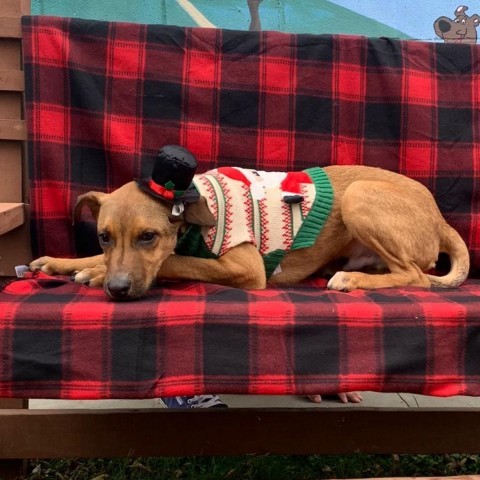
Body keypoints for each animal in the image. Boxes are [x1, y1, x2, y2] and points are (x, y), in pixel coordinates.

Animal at [30, 164, 468, 300]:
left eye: (148, 237)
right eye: (104, 237)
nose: (118, 290)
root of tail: (440, 218)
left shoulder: (245, 267)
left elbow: (175, 261)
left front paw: (94, 274)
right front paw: (61, 263)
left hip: (359, 195)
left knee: (416, 277)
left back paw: (350, 279)